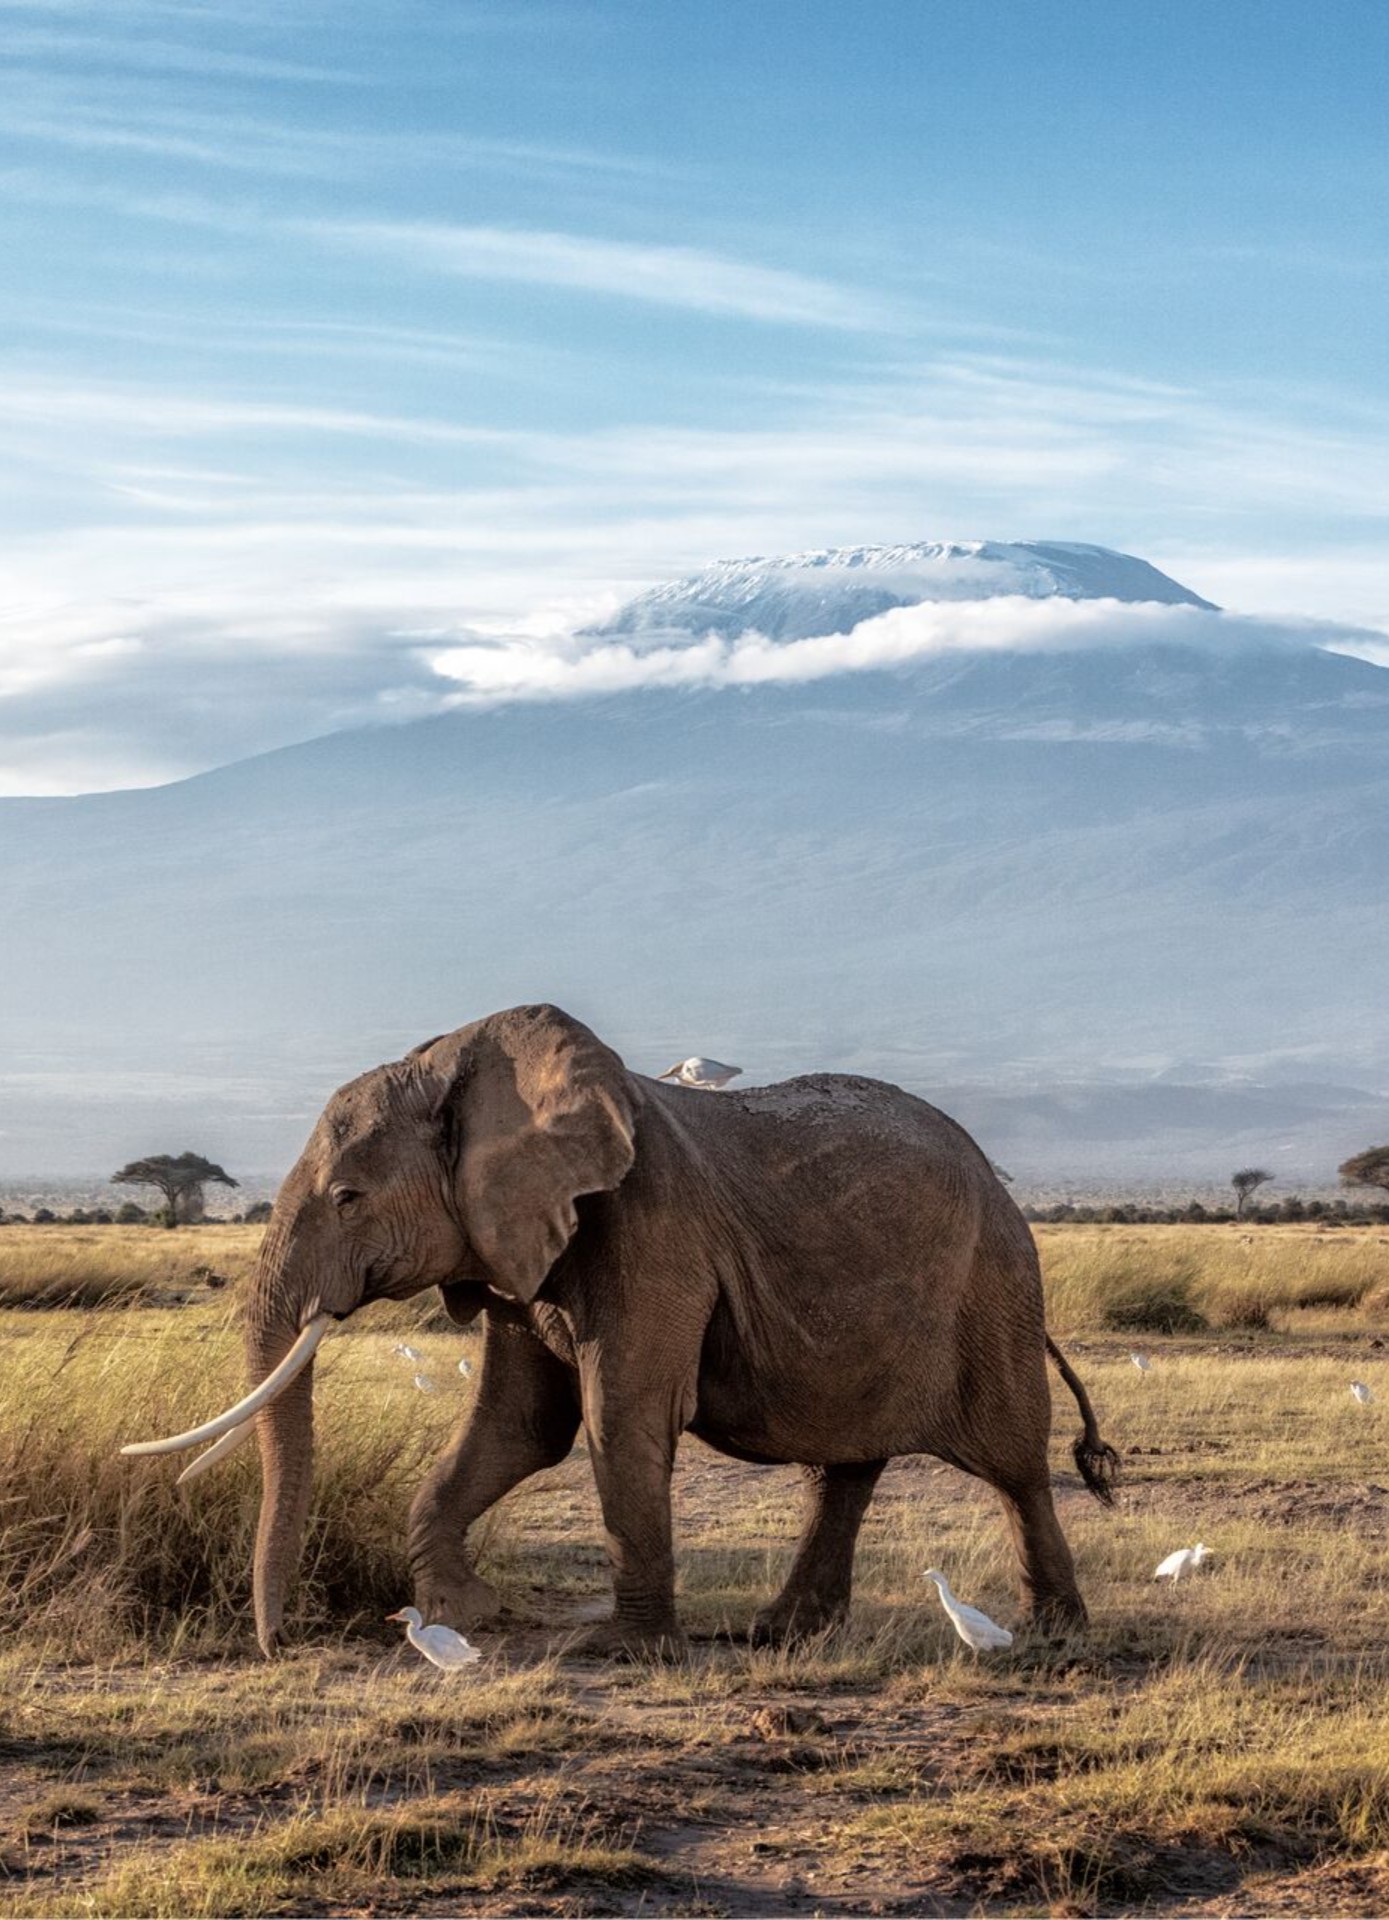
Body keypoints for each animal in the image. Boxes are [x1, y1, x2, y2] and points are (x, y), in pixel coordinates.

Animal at [122, 1004, 1118, 1658]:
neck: (474, 1066)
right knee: (845, 1467)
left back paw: (1051, 1634)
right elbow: (518, 1427)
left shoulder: (651, 1225)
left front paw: (622, 1649)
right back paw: (780, 1633)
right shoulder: (517, 1245)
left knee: (1013, 1462)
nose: (278, 1644)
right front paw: (463, 1613)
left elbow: (618, 1415)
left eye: (348, 1198)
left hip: (994, 1281)